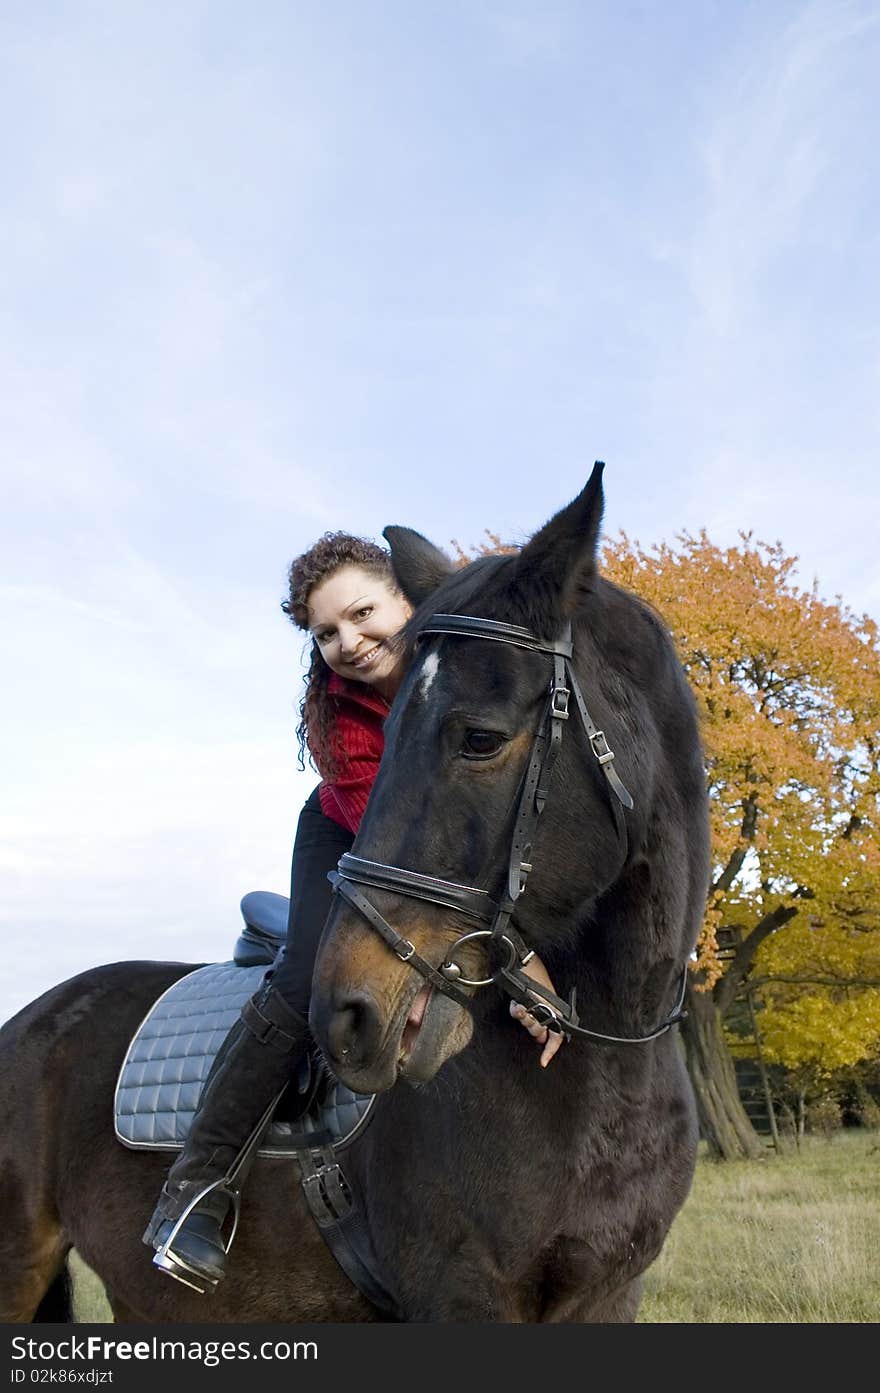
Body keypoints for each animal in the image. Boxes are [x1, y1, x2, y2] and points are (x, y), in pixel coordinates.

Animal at [0, 465, 712, 1314]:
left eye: (480, 738)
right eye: (389, 725)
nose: (349, 1015)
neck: (610, 1062)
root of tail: (33, 1017)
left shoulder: (609, 1294)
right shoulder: (461, 1292)